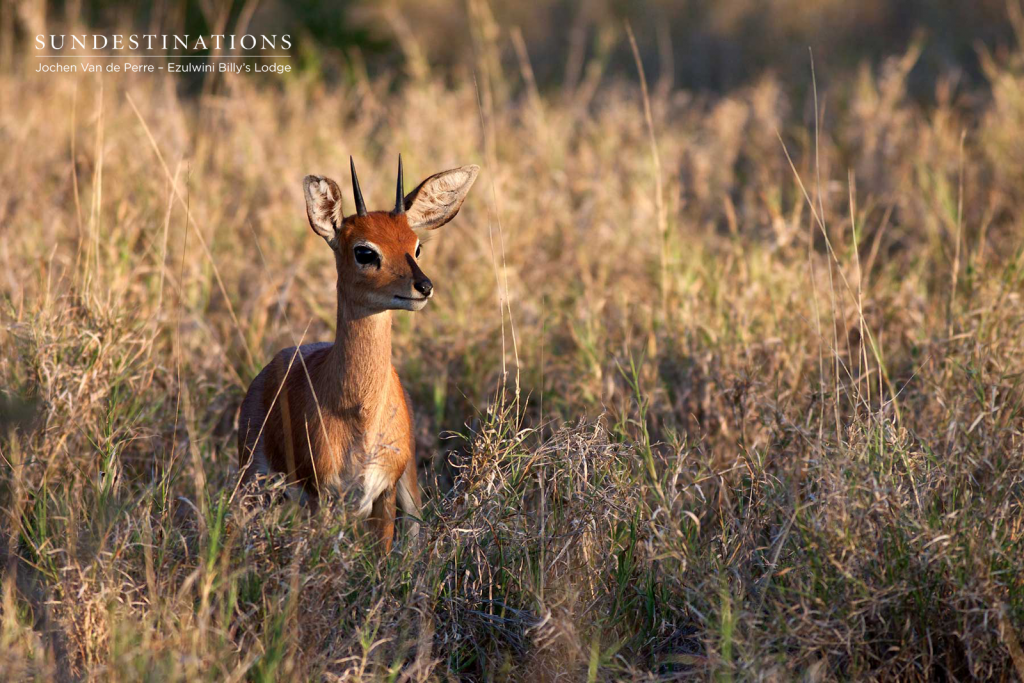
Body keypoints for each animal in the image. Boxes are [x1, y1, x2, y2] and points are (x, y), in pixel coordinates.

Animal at [238, 154, 479, 548]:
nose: (424, 286)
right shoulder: (323, 498)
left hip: (407, 487)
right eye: (365, 251)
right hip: (254, 484)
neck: (356, 412)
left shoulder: (383, 492)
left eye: (416, 246)